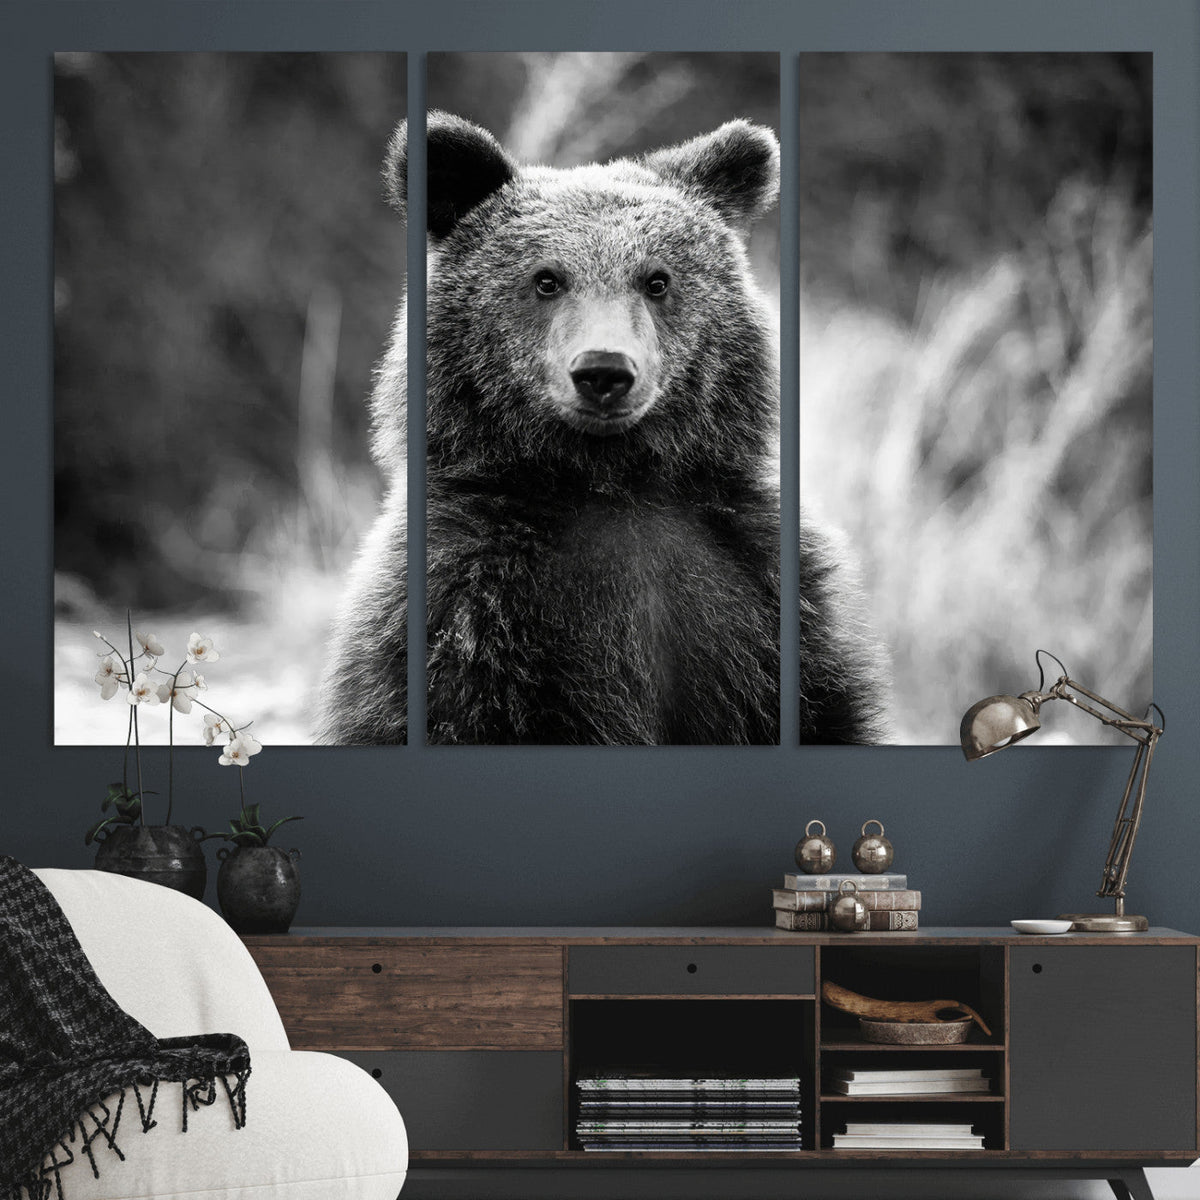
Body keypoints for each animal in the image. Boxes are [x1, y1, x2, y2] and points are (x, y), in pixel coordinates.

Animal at [318, 111, 881, 745]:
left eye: (657, 280)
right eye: (546, 279)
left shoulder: (759, 592)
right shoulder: (466, 608)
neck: (609, 481)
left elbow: (821, 708)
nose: (604, 371)